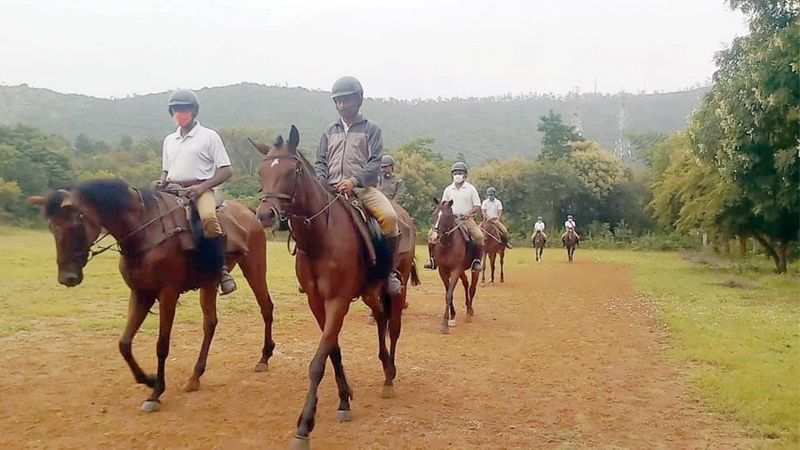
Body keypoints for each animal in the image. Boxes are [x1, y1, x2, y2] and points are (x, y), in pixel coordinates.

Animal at [26, 181, 276, 414]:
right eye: (52, 227)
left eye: (76, 223)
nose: (67, 277)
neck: (143, 232)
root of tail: (250, 214)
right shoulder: (140, 293)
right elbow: (124, 343)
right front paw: (148, 379)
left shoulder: (168, 293)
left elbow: (162, 345)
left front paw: (156, 393)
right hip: (208, 283)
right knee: (210, 323)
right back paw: (195, 376)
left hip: (254, 268)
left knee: (266, 307)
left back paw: (264, 358)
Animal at [252, 126, 418, 450]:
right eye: (262, 171)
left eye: (292, 171)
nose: (265, 215)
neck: (321, 238)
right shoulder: (317, 303)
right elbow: (333, 351)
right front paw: (344, 400)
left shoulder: (337, 301)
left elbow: (318, 362)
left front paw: (304, 426)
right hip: (369, 292)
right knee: (381, 319)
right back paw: (384, 365)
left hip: (399, 286)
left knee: (393, 327)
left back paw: (389, 377)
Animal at [434, 200, 478, 334]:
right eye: (435, 214)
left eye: (447, 216)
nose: (435, 236)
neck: (448, 244)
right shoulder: (442, 271)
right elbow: (449, 293)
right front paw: (451, 316)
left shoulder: (455, 270)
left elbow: (449, 295)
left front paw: (444, 325)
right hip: (461, 271)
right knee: (466, 283)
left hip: (472, 269)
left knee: (472, 288)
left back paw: (469, 312)